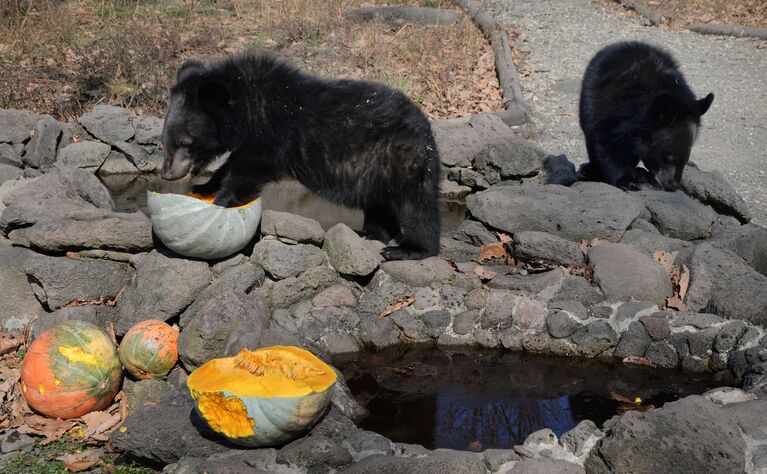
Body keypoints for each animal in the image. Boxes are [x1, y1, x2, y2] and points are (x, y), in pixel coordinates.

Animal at [159, 53, 440, 262]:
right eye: (164, 142)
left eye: (183, 142)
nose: (167, 174)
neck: (245, 107)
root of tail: (425, 126)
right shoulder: (249, 138)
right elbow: (231, 164)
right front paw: (204, 186)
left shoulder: (273, 133)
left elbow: (248, 171)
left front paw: (219, 203)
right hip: (376, 169)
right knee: (379, 205)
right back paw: (369, 234)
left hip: (402, 158)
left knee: (416, 207)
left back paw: (408, 249)